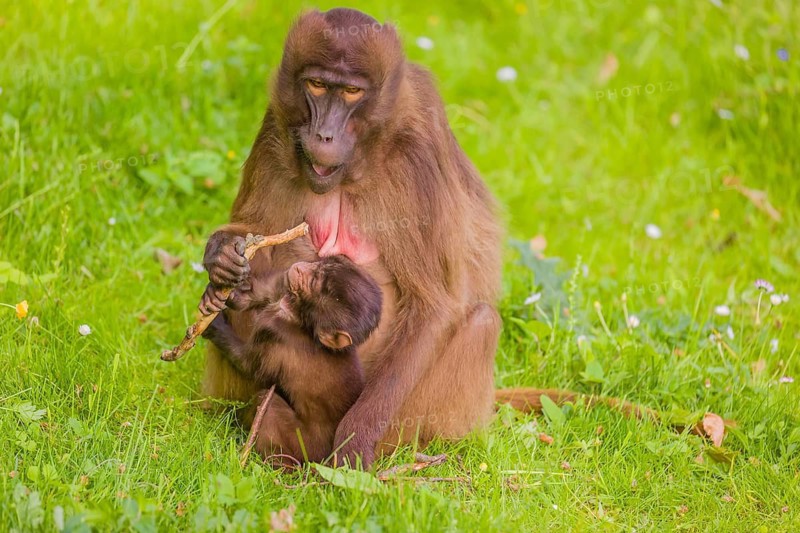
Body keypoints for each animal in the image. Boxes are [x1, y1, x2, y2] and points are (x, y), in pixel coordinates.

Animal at [201, 256, 382, 464]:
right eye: (322, 264)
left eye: (315, 283)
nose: (302, 267)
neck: (304, 325)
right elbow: (259, 294)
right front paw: (217, 291)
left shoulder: (273, 331)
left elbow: (248, 365)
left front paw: (215, 327)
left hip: (303, 444)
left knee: (268, 404)